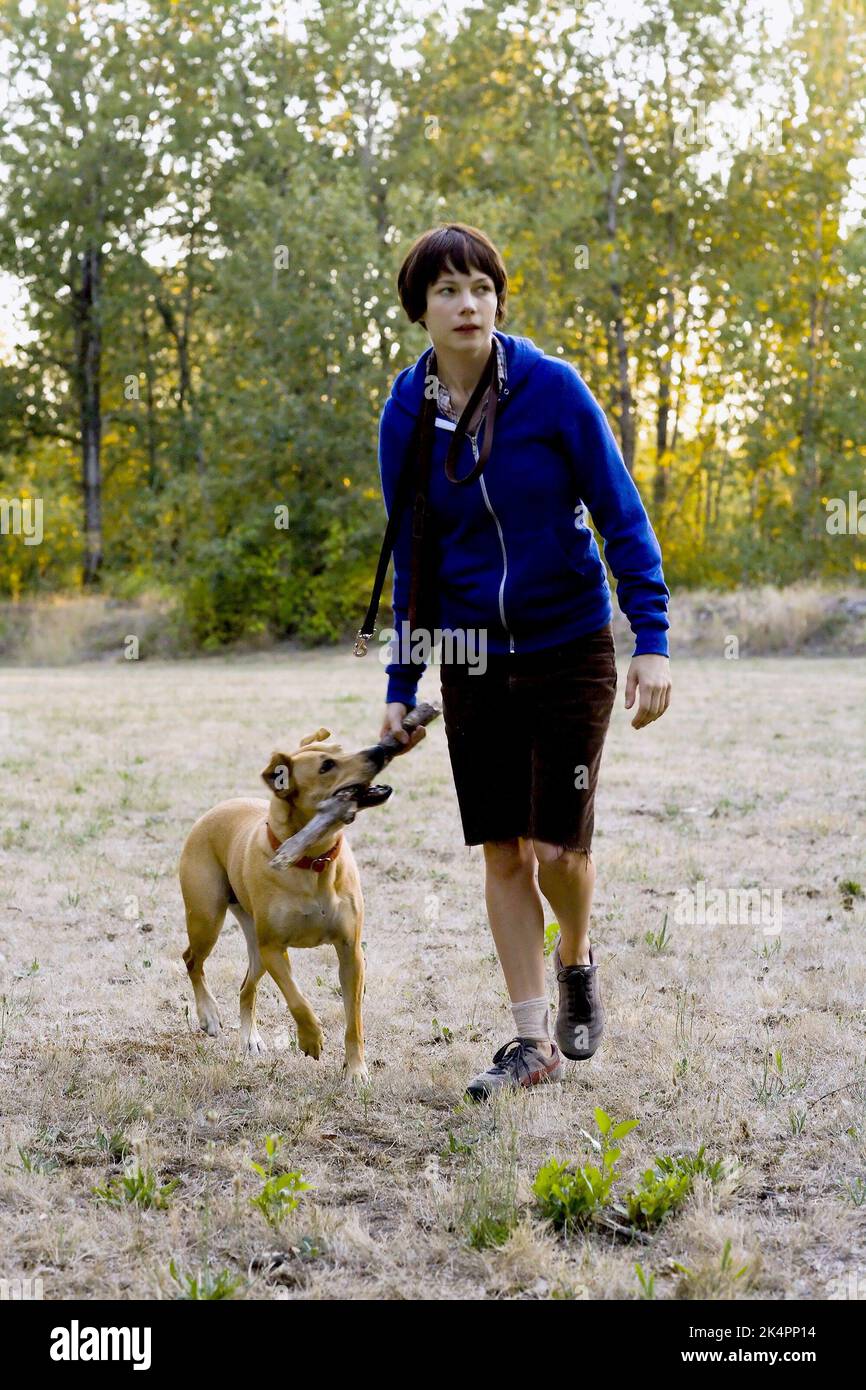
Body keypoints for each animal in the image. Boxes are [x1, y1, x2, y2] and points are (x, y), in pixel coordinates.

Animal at [179, 728, 397, 1084]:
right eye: (326, 765)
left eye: (340, 748)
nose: (379, 750)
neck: (313, 860)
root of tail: (218, 808)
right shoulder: (273, 948)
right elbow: (297, 999)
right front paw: (311, 1037)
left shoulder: (350, 951)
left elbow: (354, 1021)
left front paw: (355, 1070)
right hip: (207, 919)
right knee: (191, 960)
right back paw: (208, 1014)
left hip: (253, 945)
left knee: (245, 987)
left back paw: (250, 1039)